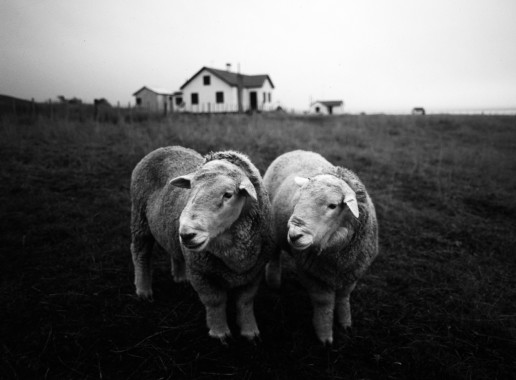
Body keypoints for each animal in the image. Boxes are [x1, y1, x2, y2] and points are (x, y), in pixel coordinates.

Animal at [131, 145, 272, 342]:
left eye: (228, 194)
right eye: (190, 190)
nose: (186, 234)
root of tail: (166, 147)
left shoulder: (254, 271)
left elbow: (245, 301)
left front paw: (250, 331)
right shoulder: (200, 272)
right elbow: (215, 301)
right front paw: (219, 332)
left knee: (175, 251)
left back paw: (180, 278)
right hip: (139, 218)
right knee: (141, 253)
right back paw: (143, 290)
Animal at [262, 151, 378, 344]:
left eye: (332, 205)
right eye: (298, 199)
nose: (294, 235)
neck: (338, 259)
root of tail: (297, 150)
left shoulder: (353, 270)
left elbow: (344, 296)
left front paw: (345, 322)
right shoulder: (311, 273)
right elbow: (324, 303)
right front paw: (324, 335)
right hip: (272, 226)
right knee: (275, 253)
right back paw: (273, 280)